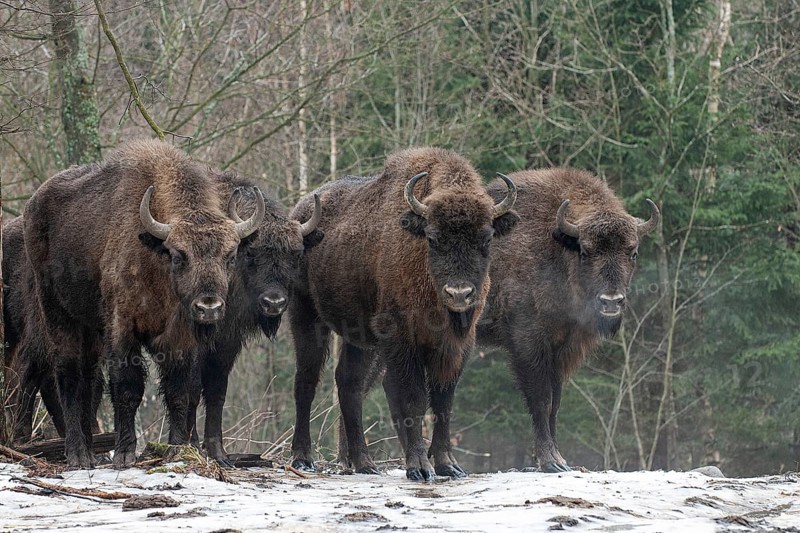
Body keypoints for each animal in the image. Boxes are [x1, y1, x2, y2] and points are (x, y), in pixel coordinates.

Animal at [23, 140, 264, 468]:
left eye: (230, 256)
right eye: (178, 256)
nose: (209, 307)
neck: (155, 260)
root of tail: (32, 205)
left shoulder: (180, 339)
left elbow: (179, 391)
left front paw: (177, 449)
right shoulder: (122, 327)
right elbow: (128, 387)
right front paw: (125, 454)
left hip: (90, 328)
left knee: (89, 381)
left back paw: (90, 451)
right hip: (57, 313)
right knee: (68, 376)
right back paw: (78, 455)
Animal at [288, 147, 518, 481]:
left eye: (486, 239)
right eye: (433, 238)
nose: (459, 294)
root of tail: (298, 214)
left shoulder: (456, 346)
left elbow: (443, 401)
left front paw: (448, 465)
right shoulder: (400, 339)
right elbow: (413, 399)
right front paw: (419, 468)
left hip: (359, 338)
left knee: (348, 383)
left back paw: (365, 463)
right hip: (305, 316)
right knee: (306, 380)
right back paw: (303, 459)